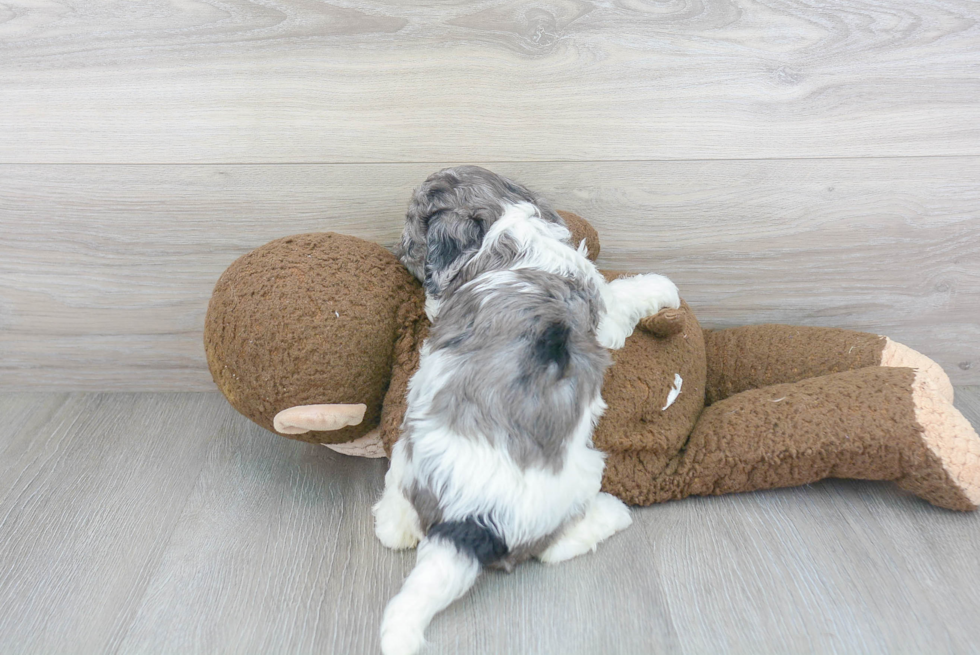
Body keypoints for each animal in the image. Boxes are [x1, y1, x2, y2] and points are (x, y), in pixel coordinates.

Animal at [372, 165, 676, 655]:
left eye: (411, 224)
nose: (397, 248)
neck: (504, 226)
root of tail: (470, 519)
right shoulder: (604, 317)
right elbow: (622, 295)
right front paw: (662, 287)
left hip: (411, 445)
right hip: (576, 474)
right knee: (553, 548)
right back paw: (612, 513)